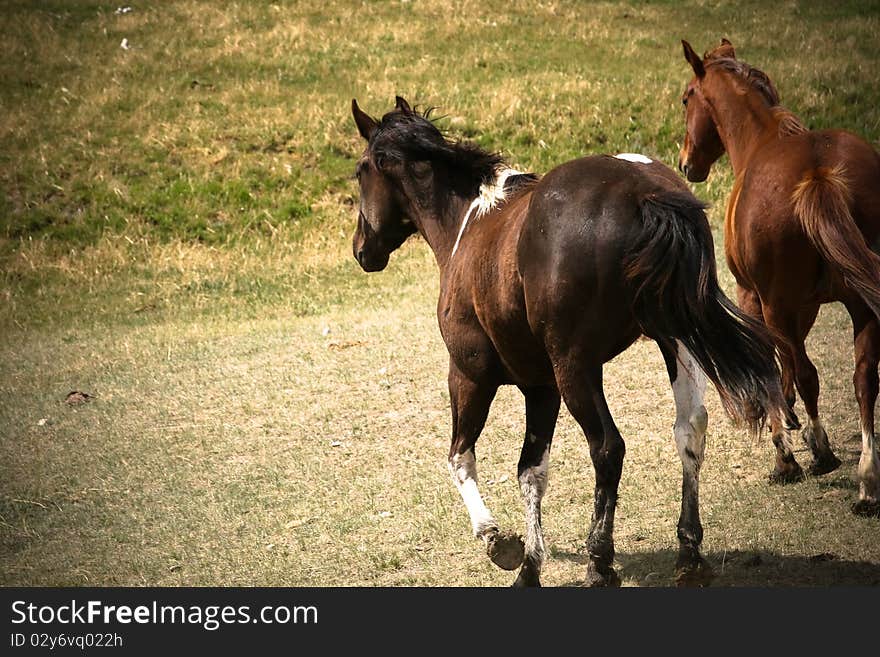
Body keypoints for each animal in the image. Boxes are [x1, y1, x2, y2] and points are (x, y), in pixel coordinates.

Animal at [348, 96, 784, 584]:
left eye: (361, 170)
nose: (362, 250)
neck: (468, 223)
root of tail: (642, 192)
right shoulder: (540, 386)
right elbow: (531, 470)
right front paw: (530, 564)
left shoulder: (468, 376)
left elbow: (460, 458)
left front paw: (500, 543)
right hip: (676, 340)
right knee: (689, 429)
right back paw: (688, 554)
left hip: (576, 366)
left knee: (608, 447)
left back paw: (600, 561)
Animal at [680, 38, 880, 516]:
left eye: (686, 99)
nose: (686, 163)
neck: (761, 141)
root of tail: (819, 174)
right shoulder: (803, 305)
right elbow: (790, 363)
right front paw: (791, 418)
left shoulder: (755, 297)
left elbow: (774, 364)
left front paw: (786, 450)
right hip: (861, 304)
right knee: (864, 379)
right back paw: (867, 482)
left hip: (775, 301)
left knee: (809, 371)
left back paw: (818, 453)